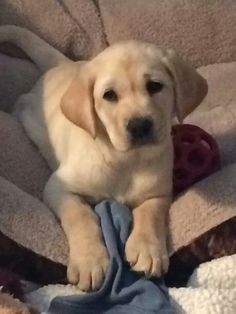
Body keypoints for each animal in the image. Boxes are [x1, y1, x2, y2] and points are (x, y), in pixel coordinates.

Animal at [0, 25, 206, 292]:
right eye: (109, 95)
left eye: (155, 86)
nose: (140, 125)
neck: (126, 160)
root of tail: (67, 64)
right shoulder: (59, 188)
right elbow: (80, 216)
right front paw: (89, 260)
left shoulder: (158, 193)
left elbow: (150, 214)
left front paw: (147, 250)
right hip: (28, 109)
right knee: (21, 103)